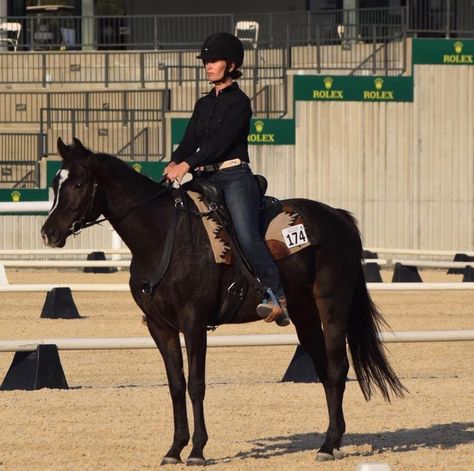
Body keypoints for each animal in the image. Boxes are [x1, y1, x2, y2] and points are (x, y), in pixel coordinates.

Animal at [40, 138, 406, 466]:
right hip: (303, 313)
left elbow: (196, 384)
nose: (48, 233)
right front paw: (174, 449)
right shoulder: (160, 327)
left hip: (332, 307)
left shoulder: (194, 322)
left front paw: (197, 451)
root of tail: (338, 217)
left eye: (78, 183)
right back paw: (331, 442)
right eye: (56, 183)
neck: (162, 235)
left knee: (337, 367)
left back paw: (329, 445)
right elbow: (176, 385)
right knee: (325, 371)